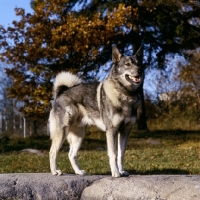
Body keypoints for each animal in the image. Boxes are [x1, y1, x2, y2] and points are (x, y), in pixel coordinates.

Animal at [49, 46, 145, 177]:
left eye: (139, 63)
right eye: (127, 64)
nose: (140, 70)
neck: (126, 94)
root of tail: (61, 93)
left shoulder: (125, 132)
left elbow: (121, 155)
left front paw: (122, 171)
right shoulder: (111, 131)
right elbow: (113, 154)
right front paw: (116, 172)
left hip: (79, 135)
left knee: (71, 154)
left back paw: (79, 172)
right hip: (62, 132)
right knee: (52, 152)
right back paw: (55, 171)